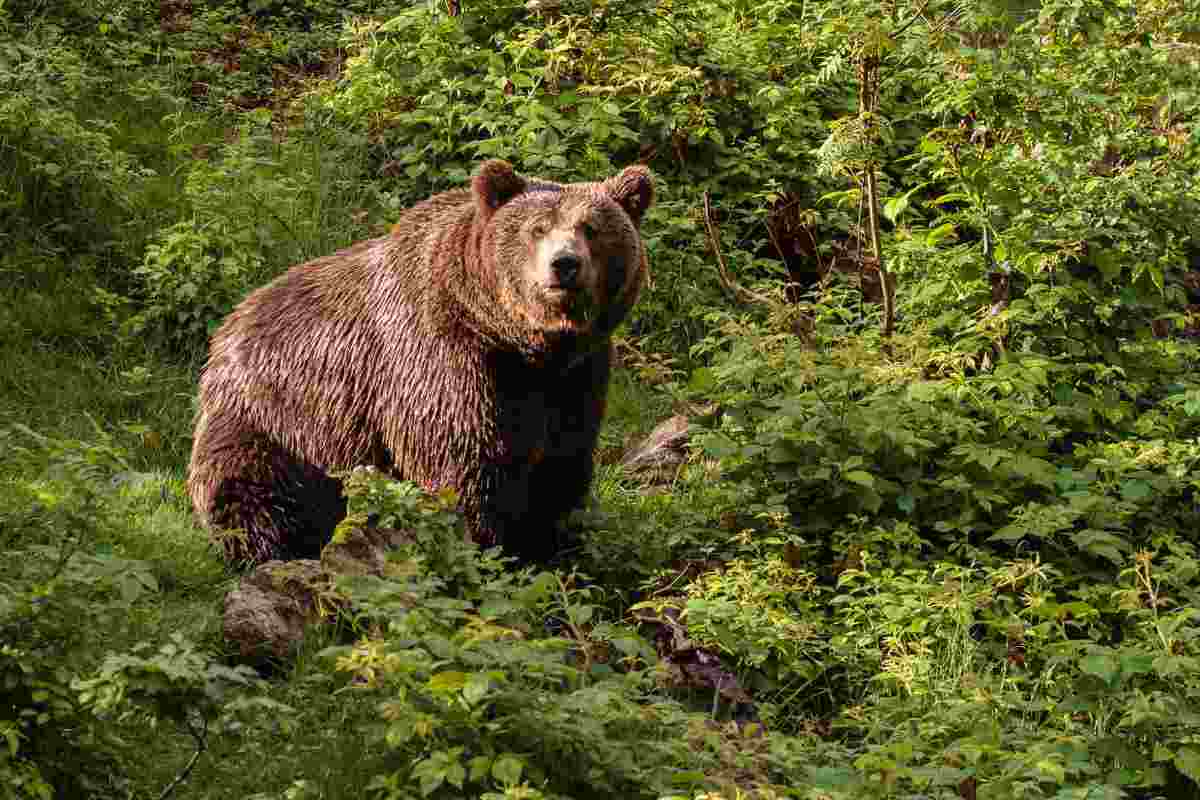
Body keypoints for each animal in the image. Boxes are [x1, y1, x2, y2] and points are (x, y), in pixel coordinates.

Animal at [187, 159, 652, 566]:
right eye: (536, 229)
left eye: (591, 228)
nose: (564, 265)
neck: (522, 342)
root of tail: (228, 326)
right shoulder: (442, 360)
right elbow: (462, 466)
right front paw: (489, 549)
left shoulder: (575, 377)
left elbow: (558, 468)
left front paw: (550, 548)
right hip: (277, 420)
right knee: (252, 491)